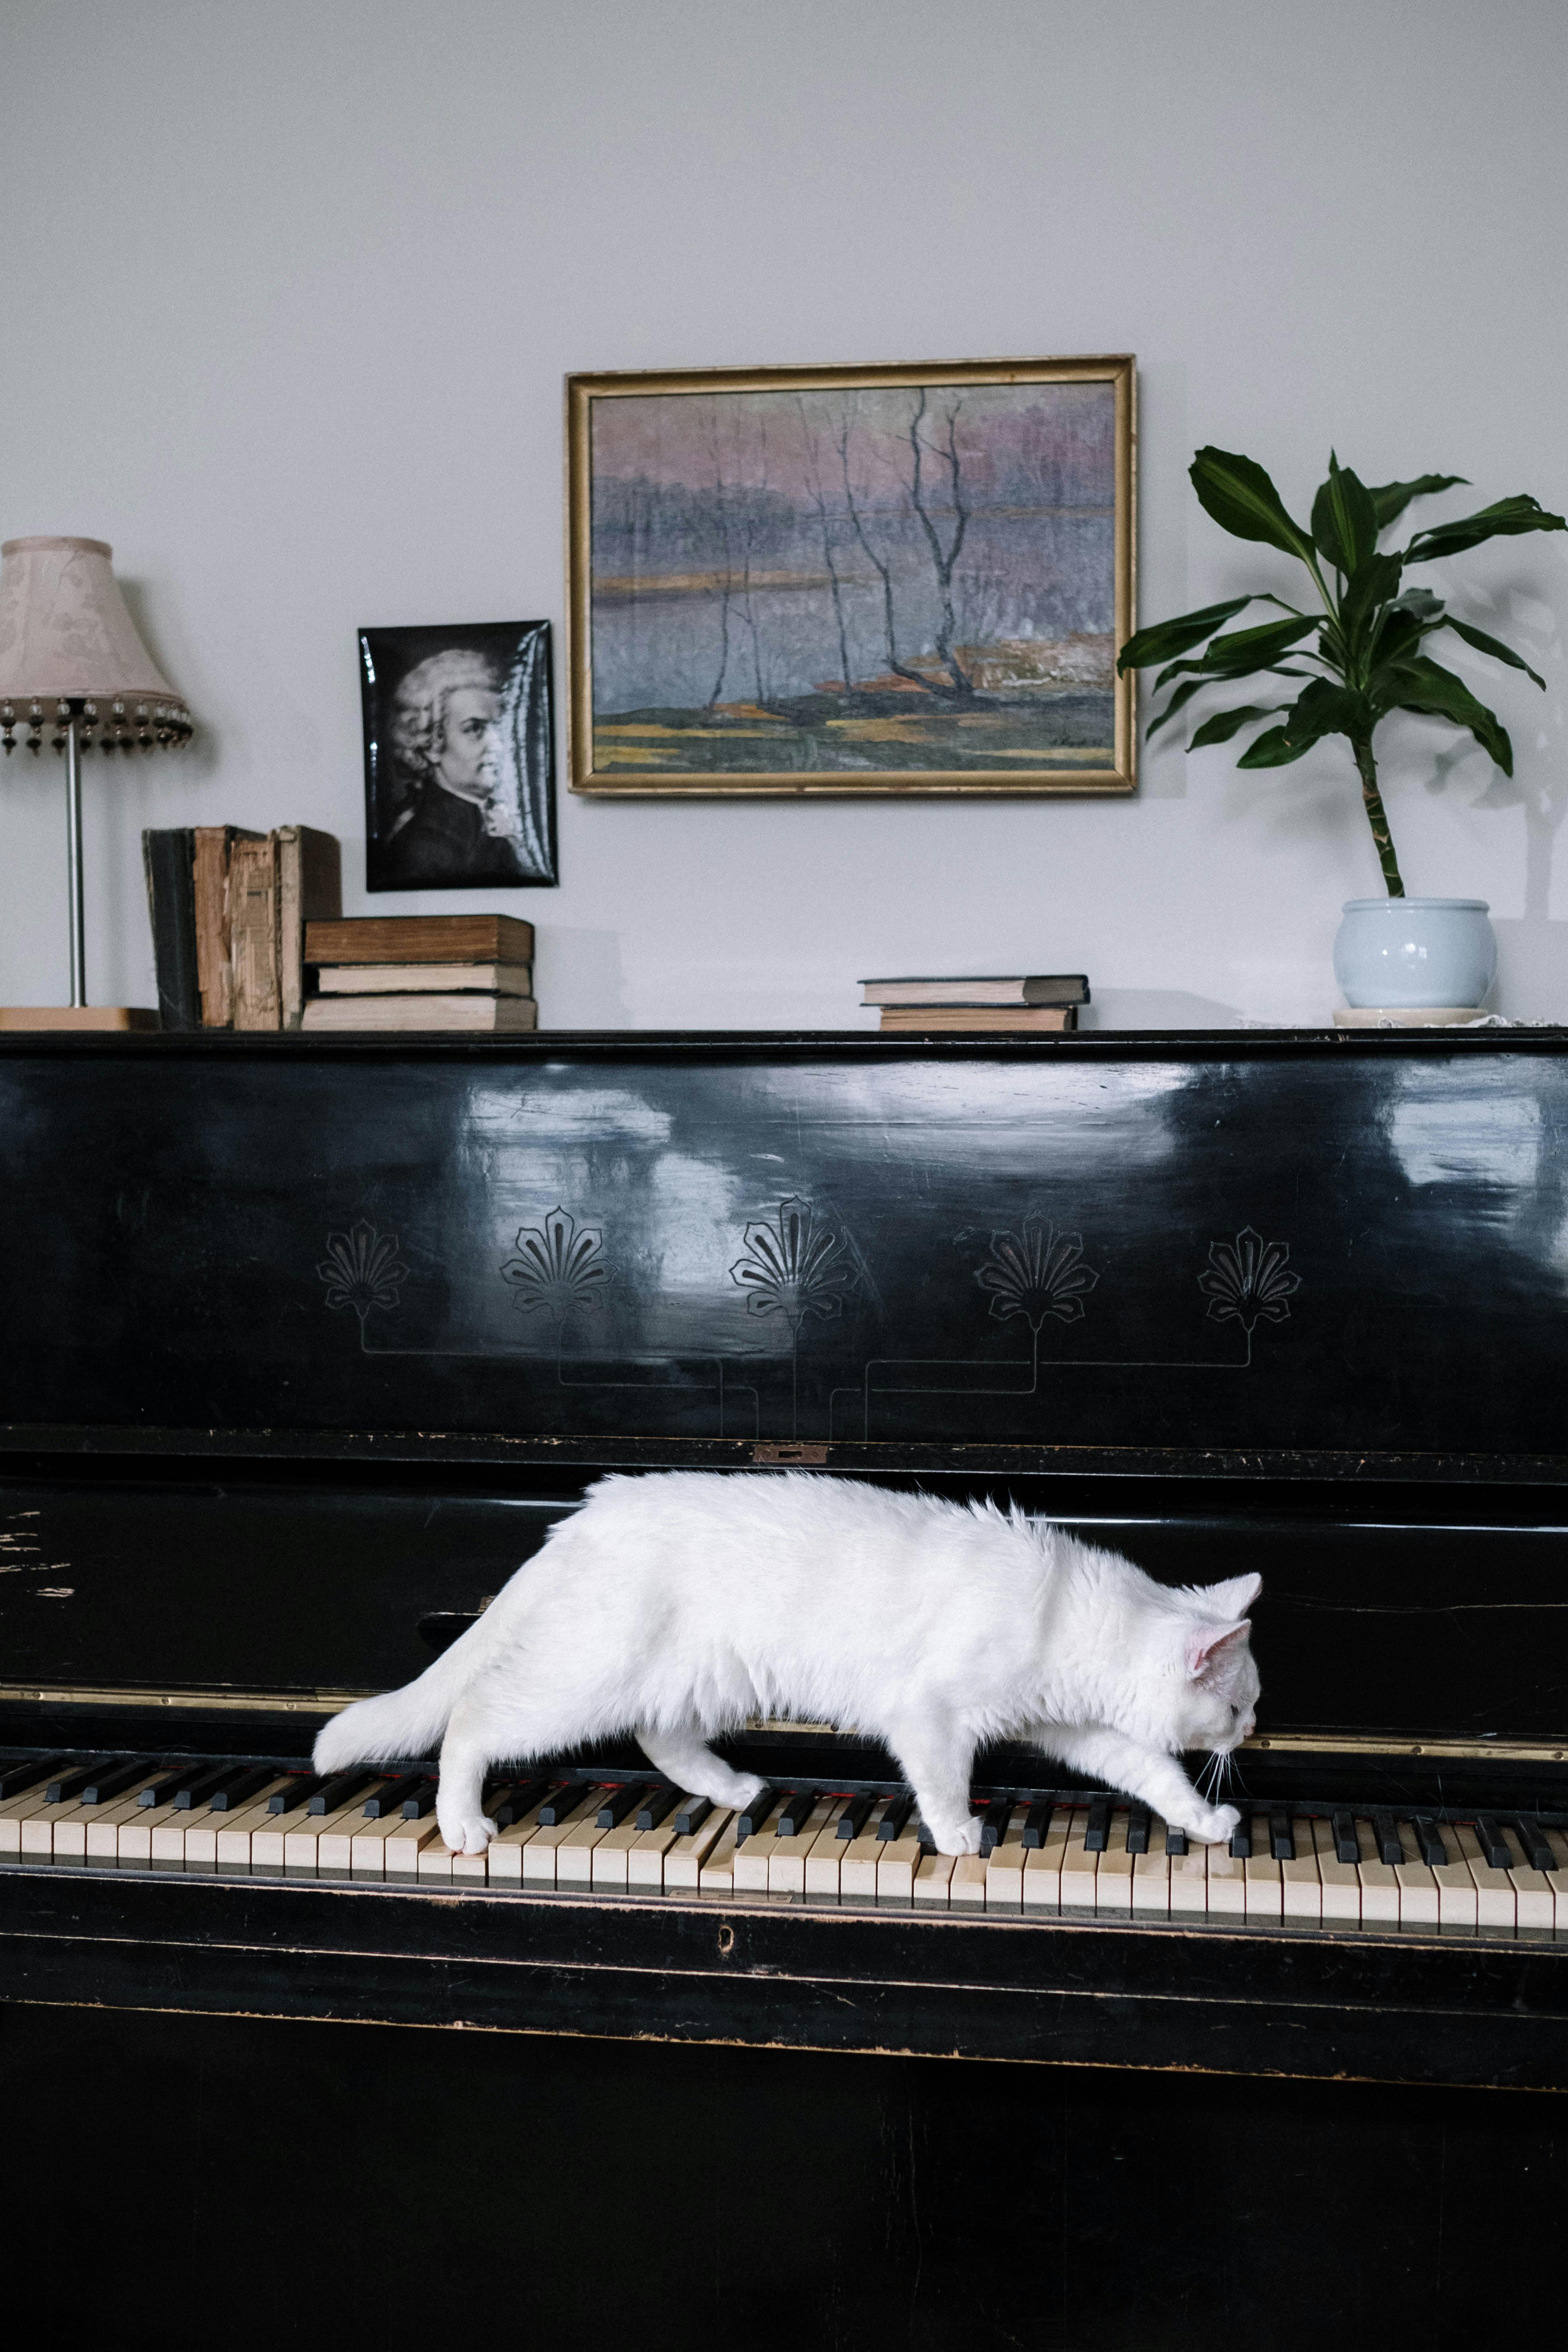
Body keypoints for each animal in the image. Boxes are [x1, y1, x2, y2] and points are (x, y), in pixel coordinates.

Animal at [319, 1467, 1260, 1853]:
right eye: (1237, 1707)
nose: (1253, 1735)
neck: (1065, 1608)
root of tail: (583, 1513)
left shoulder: (1077, 1729)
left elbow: (1153, 1773)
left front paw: (1206, 1823)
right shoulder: (928, 1715)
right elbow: (942, 1780)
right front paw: (959, 1835)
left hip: (695, 1680)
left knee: (659, 1738)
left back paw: (734, 1788)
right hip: (588, 1678)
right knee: (474, 1715)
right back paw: (461, 1822)